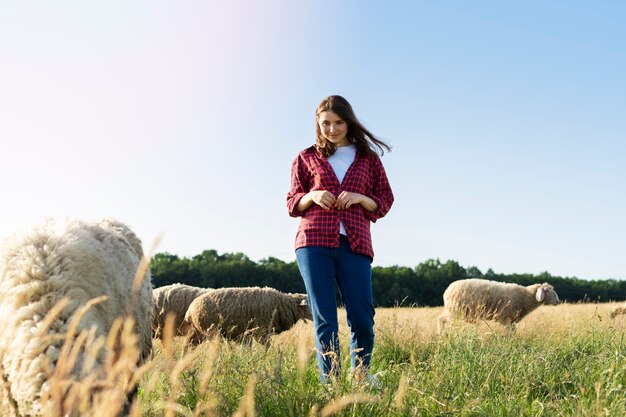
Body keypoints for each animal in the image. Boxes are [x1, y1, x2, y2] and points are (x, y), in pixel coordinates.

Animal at [183, 286, 312, 344]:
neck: (282, 304)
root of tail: (190, 310)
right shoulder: (261, 332)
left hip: (198, 331)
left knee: (188, 344)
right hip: (211, 331)